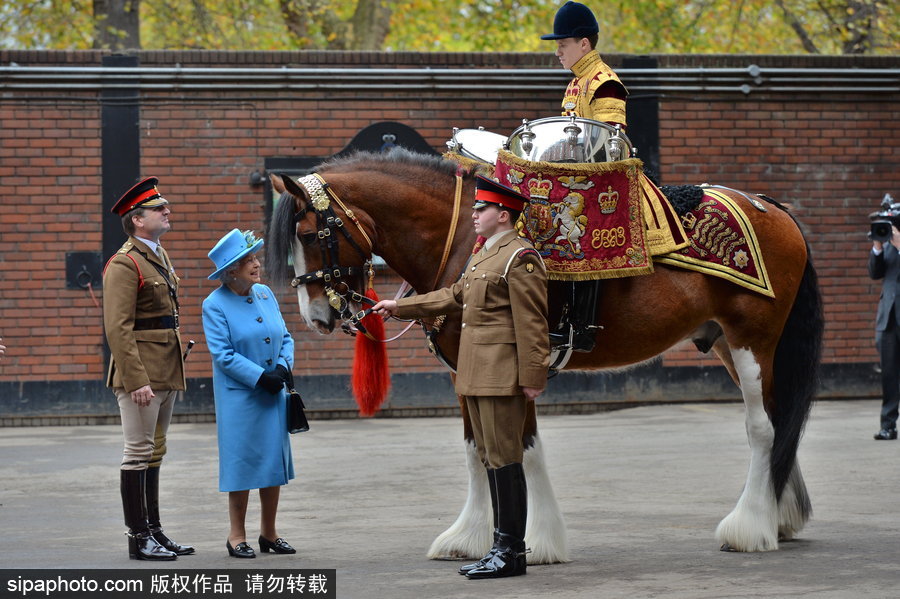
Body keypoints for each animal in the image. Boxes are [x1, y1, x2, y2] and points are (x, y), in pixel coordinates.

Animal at [268, 149, 824, 564]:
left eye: (309, 234)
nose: (316, 316)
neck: (468, 241)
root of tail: (770, 206)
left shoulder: (516, 362)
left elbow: (522, 448)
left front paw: (535, 542)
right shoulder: (467, 370)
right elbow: (477, 448)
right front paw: (469, 537)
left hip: (753, 341)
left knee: (763, 428)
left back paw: (750, 527)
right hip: (730, 344)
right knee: (779, 420)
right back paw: (778, 517)